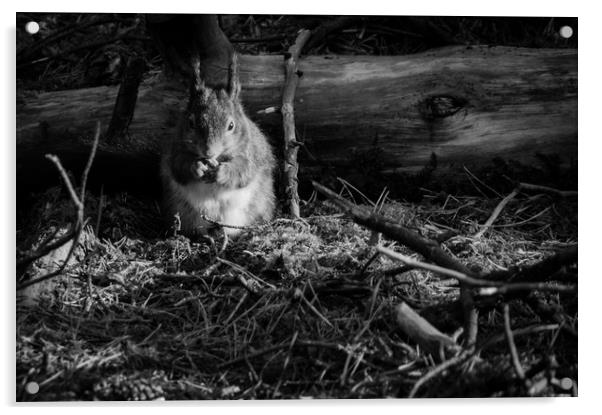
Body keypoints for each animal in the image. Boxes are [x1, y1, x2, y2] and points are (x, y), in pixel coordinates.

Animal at [157, 54, 274, 237]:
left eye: (231, 126)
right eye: (191, 123)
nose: (208, 151)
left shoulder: (251, 153)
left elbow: (243, 170)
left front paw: (222, 172)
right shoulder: (175, 150)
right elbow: (179, 166)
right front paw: (196, 166)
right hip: (182, 211)